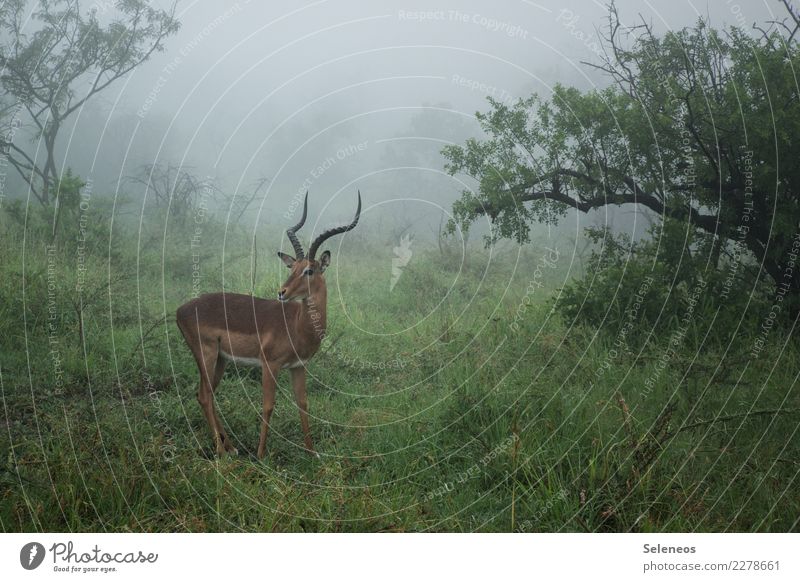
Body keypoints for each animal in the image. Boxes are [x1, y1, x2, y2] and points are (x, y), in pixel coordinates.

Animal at [178, 194, 362, 458]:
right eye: (292, 268)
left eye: (309, 270)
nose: (281, 292)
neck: (297, 326)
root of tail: (180, 310)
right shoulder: (269, 364)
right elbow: (268, 405)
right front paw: (261, 454)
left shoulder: (298, 366)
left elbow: (303, 404)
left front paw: (312, 452)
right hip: (207, 354)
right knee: (204, 395)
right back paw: (222, 452)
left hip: (221, 359)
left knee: (207, 395)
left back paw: (230, 447)